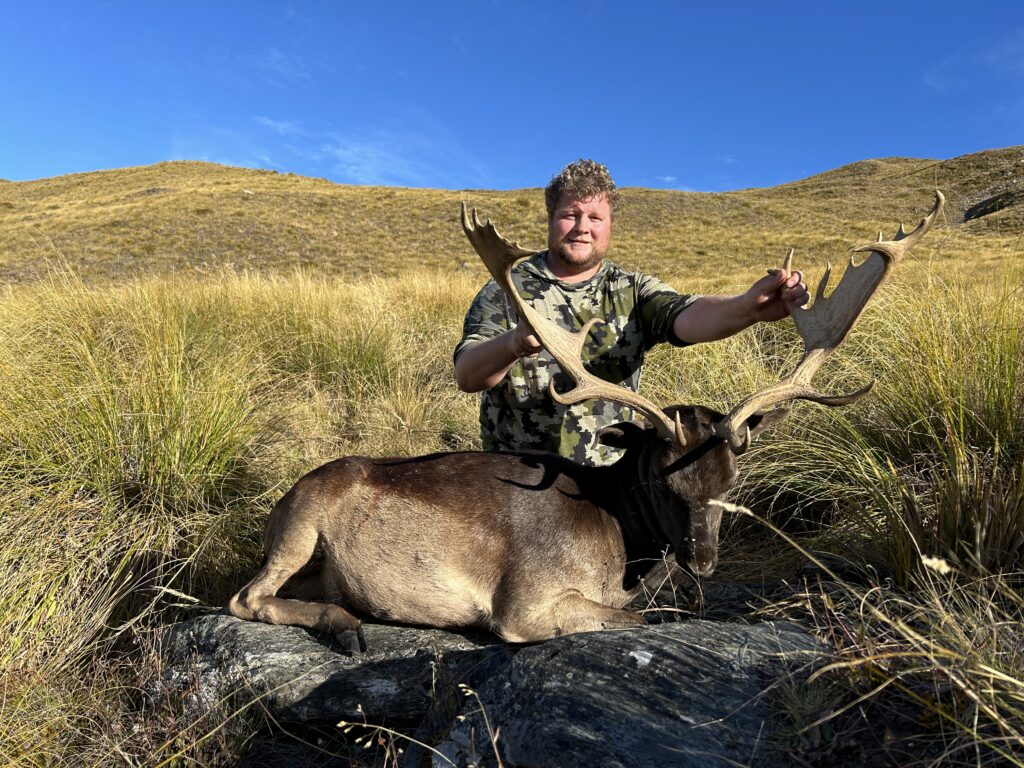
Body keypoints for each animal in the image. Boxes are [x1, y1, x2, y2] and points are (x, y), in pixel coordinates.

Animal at [230, 191, 942, 651]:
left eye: (732, 483)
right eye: (662, 479)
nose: (704, 559)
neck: (617, 537)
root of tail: (276, 503)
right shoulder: (524, 603)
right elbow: (647, 620)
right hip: (300, 526)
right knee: (245, 597)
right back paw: (346, 626)